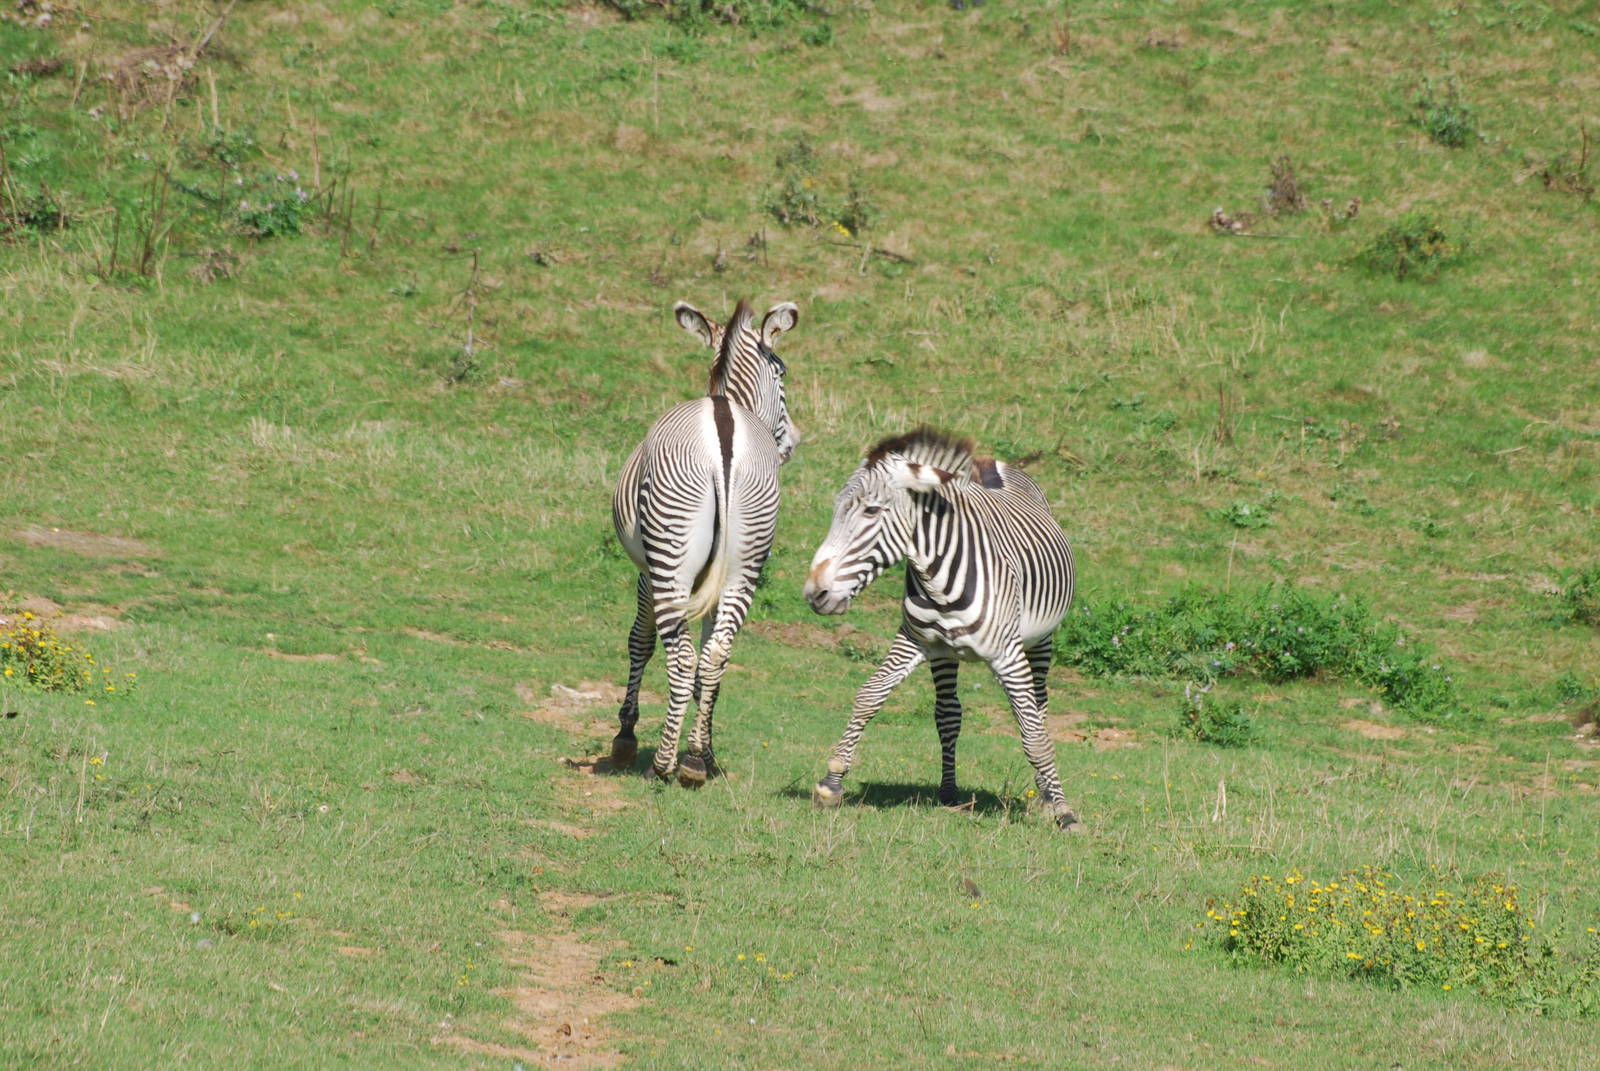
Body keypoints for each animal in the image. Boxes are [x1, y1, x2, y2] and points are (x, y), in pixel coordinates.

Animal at [610, 298, 800, 787]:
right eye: (783, 375)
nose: (792, 444)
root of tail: (724, 434)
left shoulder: (646, 572)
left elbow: (640, 641)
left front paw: (626, 736)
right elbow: (708, 664)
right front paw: (705, 749)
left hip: (670, 560)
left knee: (681, 656)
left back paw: (662, 763)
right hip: (744, 563)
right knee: (716, 655)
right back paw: (694, 762)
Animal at [801, 427, 1083, 831]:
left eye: (871, 510)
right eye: (837, 508)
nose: (815, 593)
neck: (938, 576)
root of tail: (991, 463)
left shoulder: (1008, 654)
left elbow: (1033, 732)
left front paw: (1063, 810)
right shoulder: (915, 641)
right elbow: (869, 696)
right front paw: (832, 781)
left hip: (1040, 641)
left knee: (1040, 709)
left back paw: (1045, 795)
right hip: (946, 655)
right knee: (948, 713)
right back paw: (949, 791)